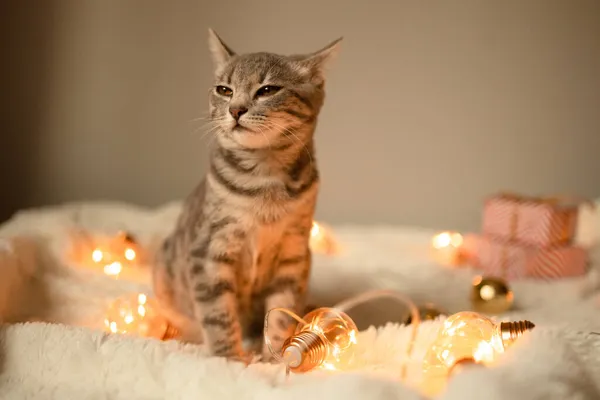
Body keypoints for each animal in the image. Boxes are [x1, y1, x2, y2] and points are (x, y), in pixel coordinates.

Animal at [152, 28, 340, 360]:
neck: (264, 179)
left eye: (267, 89)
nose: (235, 109)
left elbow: (280, 315)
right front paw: (229, 359)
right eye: (224, 89)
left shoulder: (293, 255)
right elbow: (218, 316)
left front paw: (275, 357)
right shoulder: (209, 252)